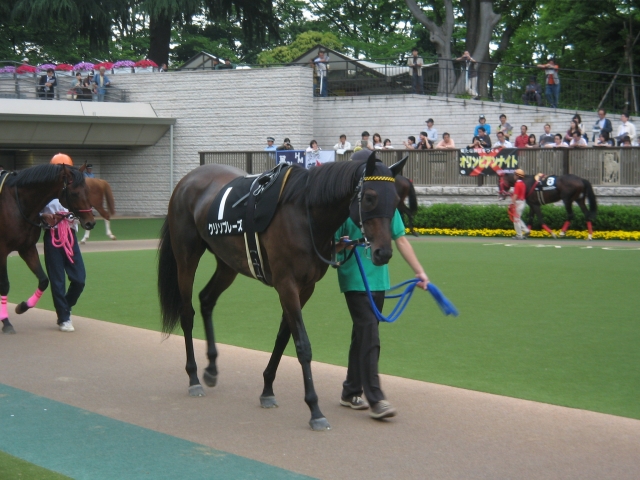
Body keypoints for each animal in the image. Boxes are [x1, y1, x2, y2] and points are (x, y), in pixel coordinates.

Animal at [0, 163, 95, 332]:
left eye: (87, 190)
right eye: (75, 193)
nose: (91, 222)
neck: (16, 203)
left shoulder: (27, 248)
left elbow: (44, 280)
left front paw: (22, 306)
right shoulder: (2, 250)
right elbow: (4, 285)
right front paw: (6, 322)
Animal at [156, 154, 404, 432]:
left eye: (396, 200)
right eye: (370, 197)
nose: (383, 252)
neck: (304, 214)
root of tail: (185, 181)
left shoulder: (305, 287)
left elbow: (284, 337)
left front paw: (267, 390)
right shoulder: (287, 284)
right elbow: (302, 344)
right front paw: (315, 409)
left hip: (228, 263)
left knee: (206, 300)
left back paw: (210, 369)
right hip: (186, 257)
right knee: (187, 313)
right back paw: (194, 377)